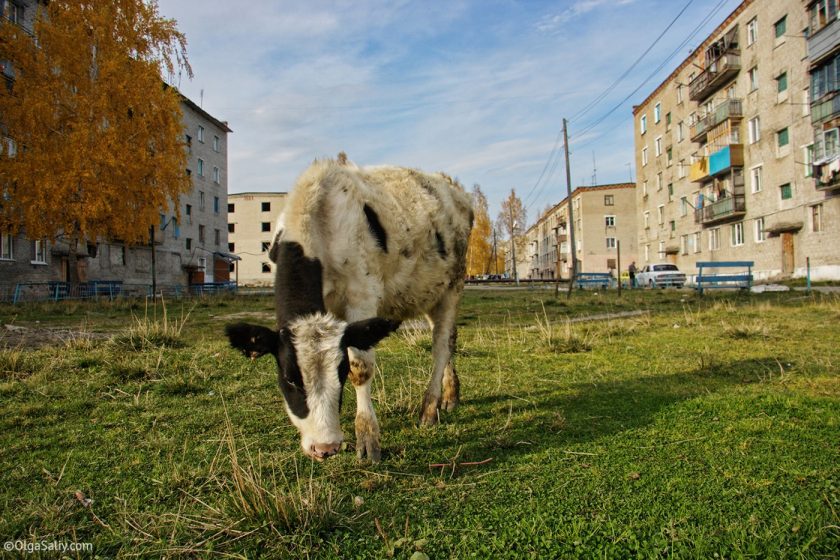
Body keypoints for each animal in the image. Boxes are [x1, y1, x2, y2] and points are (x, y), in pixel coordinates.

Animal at [225, 153, 473, 463]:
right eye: (290, 379)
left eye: (340, 372)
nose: (324, 447)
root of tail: (452, 186)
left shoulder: (362, 296)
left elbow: (361, 368)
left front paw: (367, 437)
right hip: (430, 291)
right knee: (448, 339)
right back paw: (450, 395)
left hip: (453, 285)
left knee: (440, 345)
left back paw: (429, 407)